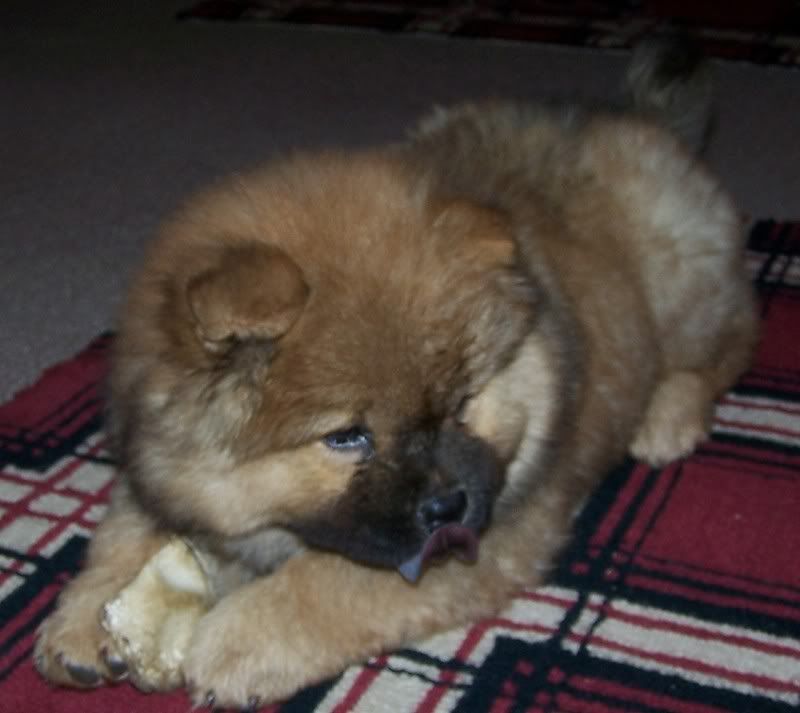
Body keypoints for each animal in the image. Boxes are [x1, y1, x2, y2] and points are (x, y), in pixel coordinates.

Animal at [32, 39, 756, 708]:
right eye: (347, 437)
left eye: (461, 405)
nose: (449, 505)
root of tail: (637, 117)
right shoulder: (155, 460)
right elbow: (122, 529)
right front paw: (82, 619)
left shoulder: (476, 540)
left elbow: (331, 582)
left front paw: (234, 640)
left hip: (681, 281)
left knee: (731, 340)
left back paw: (668, 418)